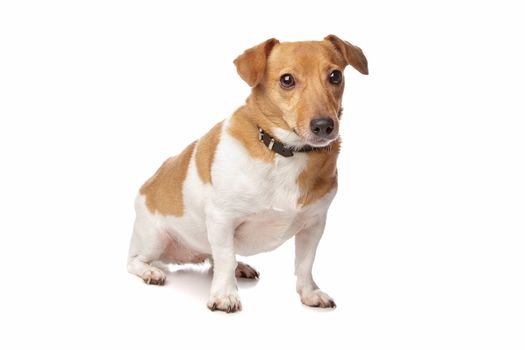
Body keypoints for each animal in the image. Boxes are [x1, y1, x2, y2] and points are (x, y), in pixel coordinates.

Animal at [126, 34, 368, 312]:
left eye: (335, 76)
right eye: (287, 80)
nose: (324, 125)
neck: (285, 151)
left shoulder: (314, 225)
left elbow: (305, 264)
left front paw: (309, 293)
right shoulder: (222, 219)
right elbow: (225, 259)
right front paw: (224, 295)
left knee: (213, 258)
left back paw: (239, 267)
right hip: (154, 238)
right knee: (135, 260)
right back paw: (150, 272)